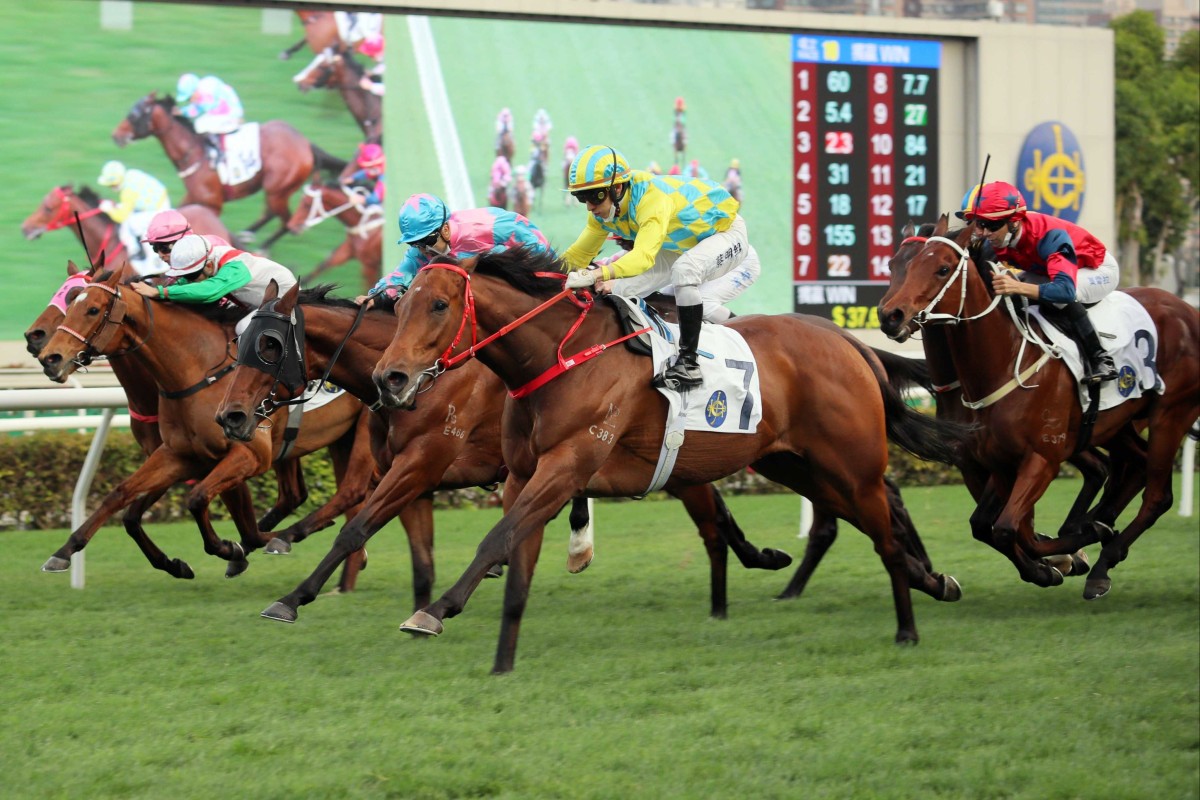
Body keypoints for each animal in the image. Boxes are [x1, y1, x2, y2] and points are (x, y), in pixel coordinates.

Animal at [36, 267, 374, 582]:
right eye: (71, 301)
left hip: (364, 432)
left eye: (92, 309)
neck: (196, 371)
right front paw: (64, 551)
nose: (49, 357)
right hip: (336, 439)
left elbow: (200, 500)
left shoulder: (248, 454)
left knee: (351, 489)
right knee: (301, 494)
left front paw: (232, 548)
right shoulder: (178, 455)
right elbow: (122, 498)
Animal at [112, 95, 350, 255]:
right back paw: (248, 233)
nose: (116, 135)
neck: (194, 151)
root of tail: (306, 144)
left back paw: (264, 246)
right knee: (272, 213)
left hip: (277, 189)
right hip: (275, 188)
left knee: (286, 220)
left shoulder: (213, 204)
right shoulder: (194, 197)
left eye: (133, 114)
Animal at [216, 284, 801, 623]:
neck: (429, 379)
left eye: (268, 345)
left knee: (713, 516)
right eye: (237, 342)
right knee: (714, 511)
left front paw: (292, 595)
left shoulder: (421, 464)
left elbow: (356, 526)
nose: (230, 415)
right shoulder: (413, 478)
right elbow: (414, 557)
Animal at [369, 251, 969, 676]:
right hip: (796, 465)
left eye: (439, 305)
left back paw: (908, 628)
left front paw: (434, 610)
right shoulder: (523, 476)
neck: (560, 360)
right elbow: (516, 559)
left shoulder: (567, 466)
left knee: (885, 535)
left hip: (851, 465)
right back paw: (935, 583)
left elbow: (494, 540)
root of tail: (847, 340)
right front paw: (502, 662)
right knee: (871, 524)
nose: (389, 377)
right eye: (398, 308)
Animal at [873, 215, 1200, 597]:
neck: (1000, 365)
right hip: (1119, 425)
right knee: (1133, 467)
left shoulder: (1041, 459)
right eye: (895, 265)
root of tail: (1187, 310)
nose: (890, 315)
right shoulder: (989, 461)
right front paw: (1058, 557)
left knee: (1157, 494)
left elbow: (1008, 528)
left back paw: (1102, 560)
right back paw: (1098, 530)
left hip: (1170, 415)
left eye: (942, 269)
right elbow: (993, 526)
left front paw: (1068, 551)